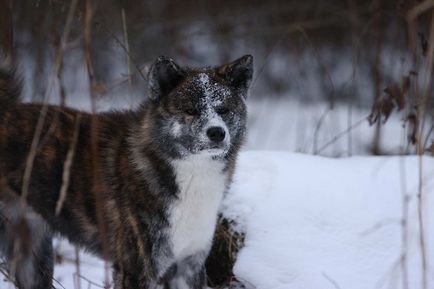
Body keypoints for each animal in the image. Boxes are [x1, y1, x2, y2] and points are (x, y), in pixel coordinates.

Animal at [0, 54, 251, 288]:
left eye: (224, 110)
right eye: (191, 110)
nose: (217, 132)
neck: (192, 172)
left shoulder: (189, 265)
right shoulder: (136, 269)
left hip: (32, 257)